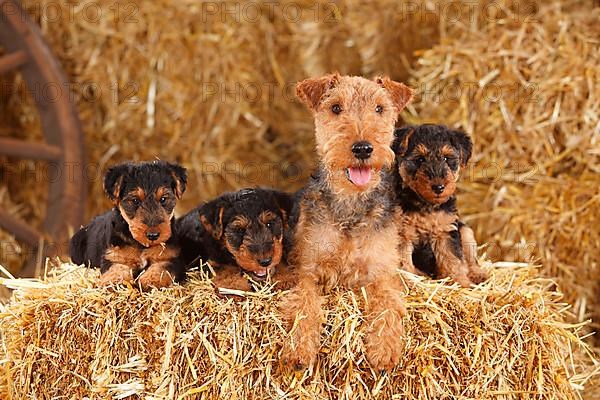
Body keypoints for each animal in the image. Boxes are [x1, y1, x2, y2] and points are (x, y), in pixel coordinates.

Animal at [68, 160, 186, 290]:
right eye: (135, 200)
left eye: (164, 199)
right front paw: (113, 281)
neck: (141, 245)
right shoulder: (115, 256)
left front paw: (151, 280)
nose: (153, 235)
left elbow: (162, 268)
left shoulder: (170, 258)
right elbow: (117, 269)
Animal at [394, 123, 488, 286]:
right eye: (420, 159)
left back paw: (478, 275)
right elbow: (403, 262)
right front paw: (408, 281)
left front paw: (460, 282)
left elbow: (453, 260)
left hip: (466, 232)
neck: (427, 204)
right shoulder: (403, 233)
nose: (438, 187)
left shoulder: (446, 231)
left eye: (446, 158)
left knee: (471, 260)